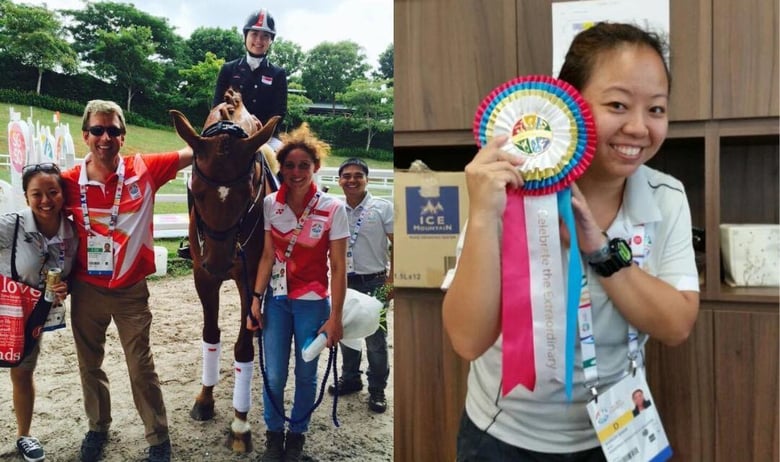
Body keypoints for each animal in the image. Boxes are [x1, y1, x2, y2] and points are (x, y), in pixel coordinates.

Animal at [171, 88, 280, 452]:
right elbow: (210, 335)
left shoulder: (250, 280)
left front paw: (240, 424)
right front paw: (204, 401)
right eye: (196, 190)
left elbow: (243, 348)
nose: (219, 261)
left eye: (248, 191)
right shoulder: (203, 277)